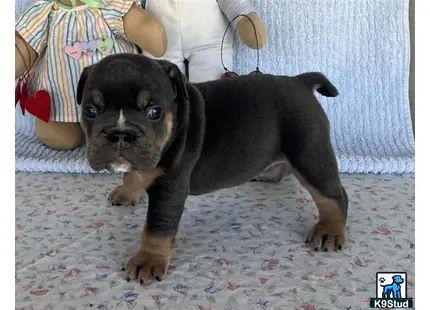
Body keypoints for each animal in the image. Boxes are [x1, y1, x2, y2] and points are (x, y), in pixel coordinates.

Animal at [75, 53, 348, 284]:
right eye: (90, 111)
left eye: (154, 112)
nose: (120, 134)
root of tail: (300, 81)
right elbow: (132, 174)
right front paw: (128, 191)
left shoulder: (169, 189)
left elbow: (156, 227)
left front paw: (148, 260)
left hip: (309, 153)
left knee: (333, 195)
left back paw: (329, 230)